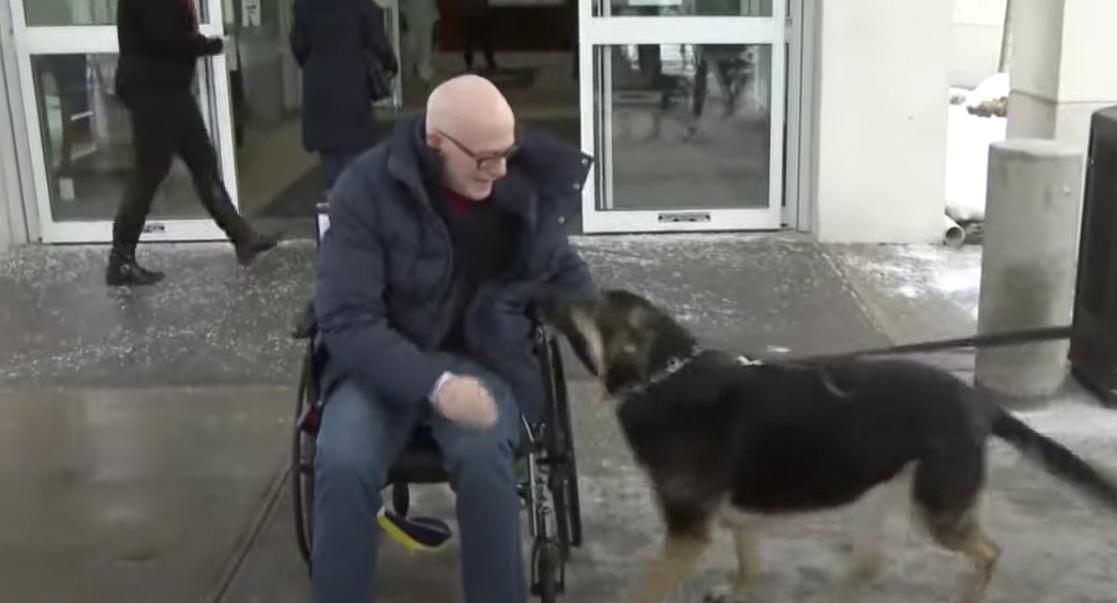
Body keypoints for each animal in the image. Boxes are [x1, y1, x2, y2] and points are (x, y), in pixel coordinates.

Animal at [540, 288, 1117, 603]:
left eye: (587, 305)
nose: (539, 294)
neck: (664, 374)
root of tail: (976, 400)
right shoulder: (737, 516)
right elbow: (749, 562)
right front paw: (740, 589)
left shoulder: (687, 531)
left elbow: (646, 590)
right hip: (871, 493)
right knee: (870, 566)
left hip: (934, 510)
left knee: (989, 553)